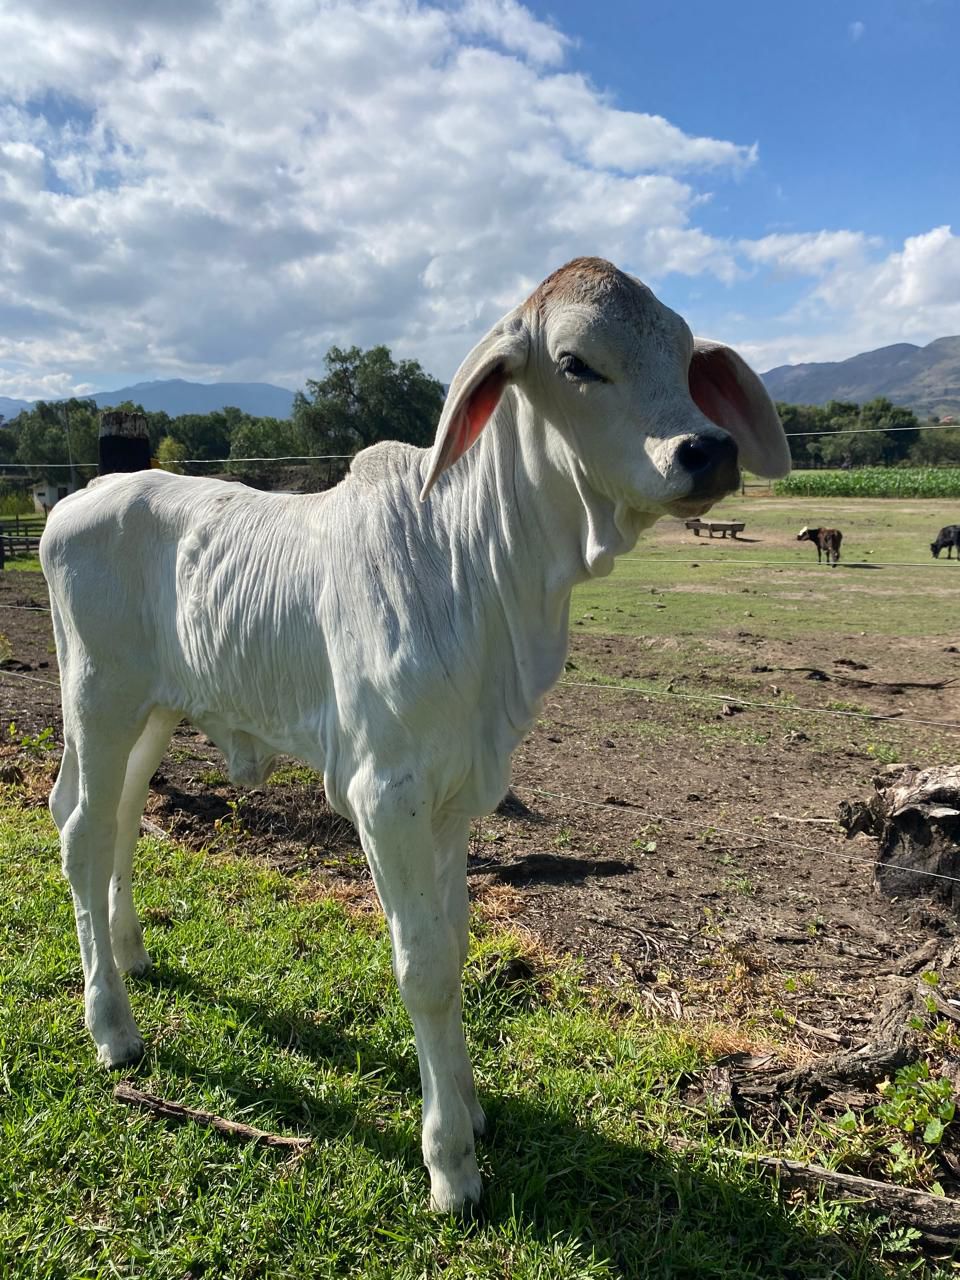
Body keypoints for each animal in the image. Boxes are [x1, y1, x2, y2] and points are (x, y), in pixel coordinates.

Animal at [40, 257, 790, 1213]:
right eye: (577, 362)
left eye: (687, 354)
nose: (707, 450)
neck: (481, 571)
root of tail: (86, 495)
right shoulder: (384, 795)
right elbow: (424, 967)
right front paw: (450, 1162)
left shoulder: (455, 794)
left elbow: (458, 944)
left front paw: (469, 1109)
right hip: (97, 697)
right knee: (79, 832)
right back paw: (111, 1025)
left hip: (153, 710)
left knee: (122, 825)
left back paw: (132, 958)